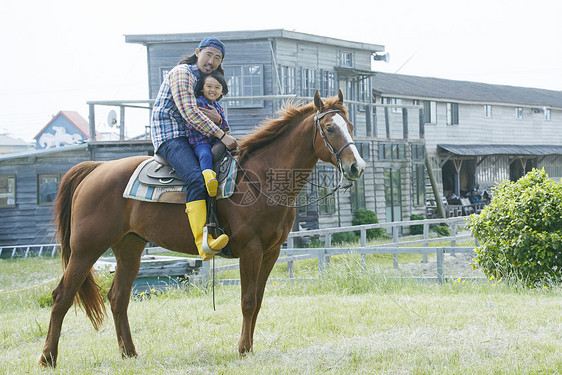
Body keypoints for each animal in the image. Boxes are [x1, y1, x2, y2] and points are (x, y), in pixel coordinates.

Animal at [38, 90, 364, 368]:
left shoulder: (271, 252)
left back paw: (129, 353)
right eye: (330, 129)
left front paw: (249, 347)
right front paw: (243, 349)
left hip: (129, 248)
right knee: (62, 296)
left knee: (118, 297)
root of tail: (94, 169)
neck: (261, 179)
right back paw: (48, 358)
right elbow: (247, 301)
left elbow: (258, 301)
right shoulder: (251, 250)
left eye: (349, 125)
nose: (356, 167)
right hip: (86, 249)